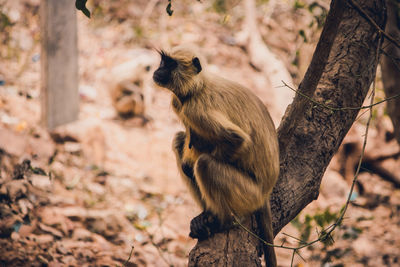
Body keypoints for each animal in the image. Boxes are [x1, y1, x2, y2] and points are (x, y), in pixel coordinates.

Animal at [152, 46, 280, 267]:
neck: (197, 88)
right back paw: (206, 215)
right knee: (179, 140)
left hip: (249, 193)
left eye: (170, 64)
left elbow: (237, 140)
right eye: (163, 62)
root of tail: (266, 191)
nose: (158, 70)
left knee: (205, 164)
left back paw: (222, 220)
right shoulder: (180, 105)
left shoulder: (196, 110)